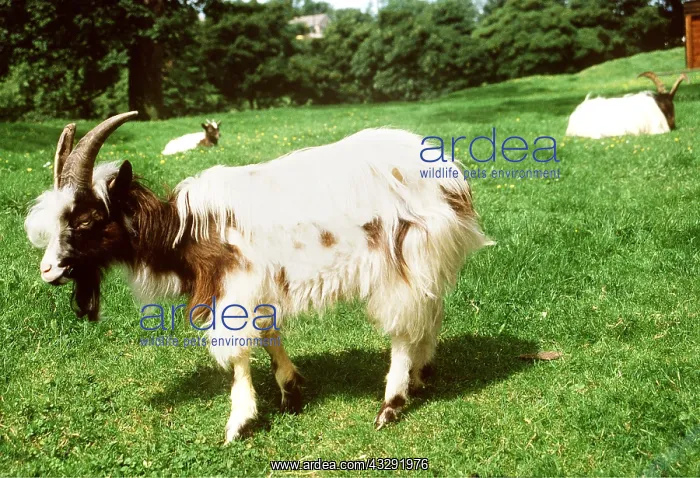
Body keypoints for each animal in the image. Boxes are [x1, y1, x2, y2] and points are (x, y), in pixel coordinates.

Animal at [25, 112, 491, 442]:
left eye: (86, 220)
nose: (48, 270)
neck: (186, 229)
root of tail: (454, 180)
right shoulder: (259, 286)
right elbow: (269, 335)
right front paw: (290, 390)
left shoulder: (235, 286)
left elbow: (236, 354)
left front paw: (240, 422)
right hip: (427, 261)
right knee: (429, 314)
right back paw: (421, 375)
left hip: (403, 258)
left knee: (403, 330)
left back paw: (390, 404)